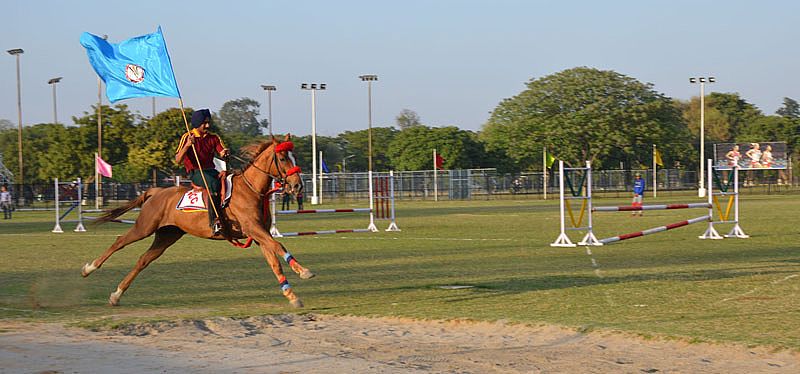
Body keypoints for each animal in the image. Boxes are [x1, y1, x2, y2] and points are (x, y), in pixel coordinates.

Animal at [79, 134, 314, 306]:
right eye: (282, 158)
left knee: (143, 260)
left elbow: (275, 261)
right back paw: (89, 268)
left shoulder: (258, 235)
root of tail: (156, 192)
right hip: (144, 227)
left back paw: (116, 294)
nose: (297, 186)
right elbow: (279, 245)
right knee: (119, 242)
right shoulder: (255, 230)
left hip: (167, 235)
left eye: (293, 157)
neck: (250, 189)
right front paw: (304, 271)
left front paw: (291, 295)